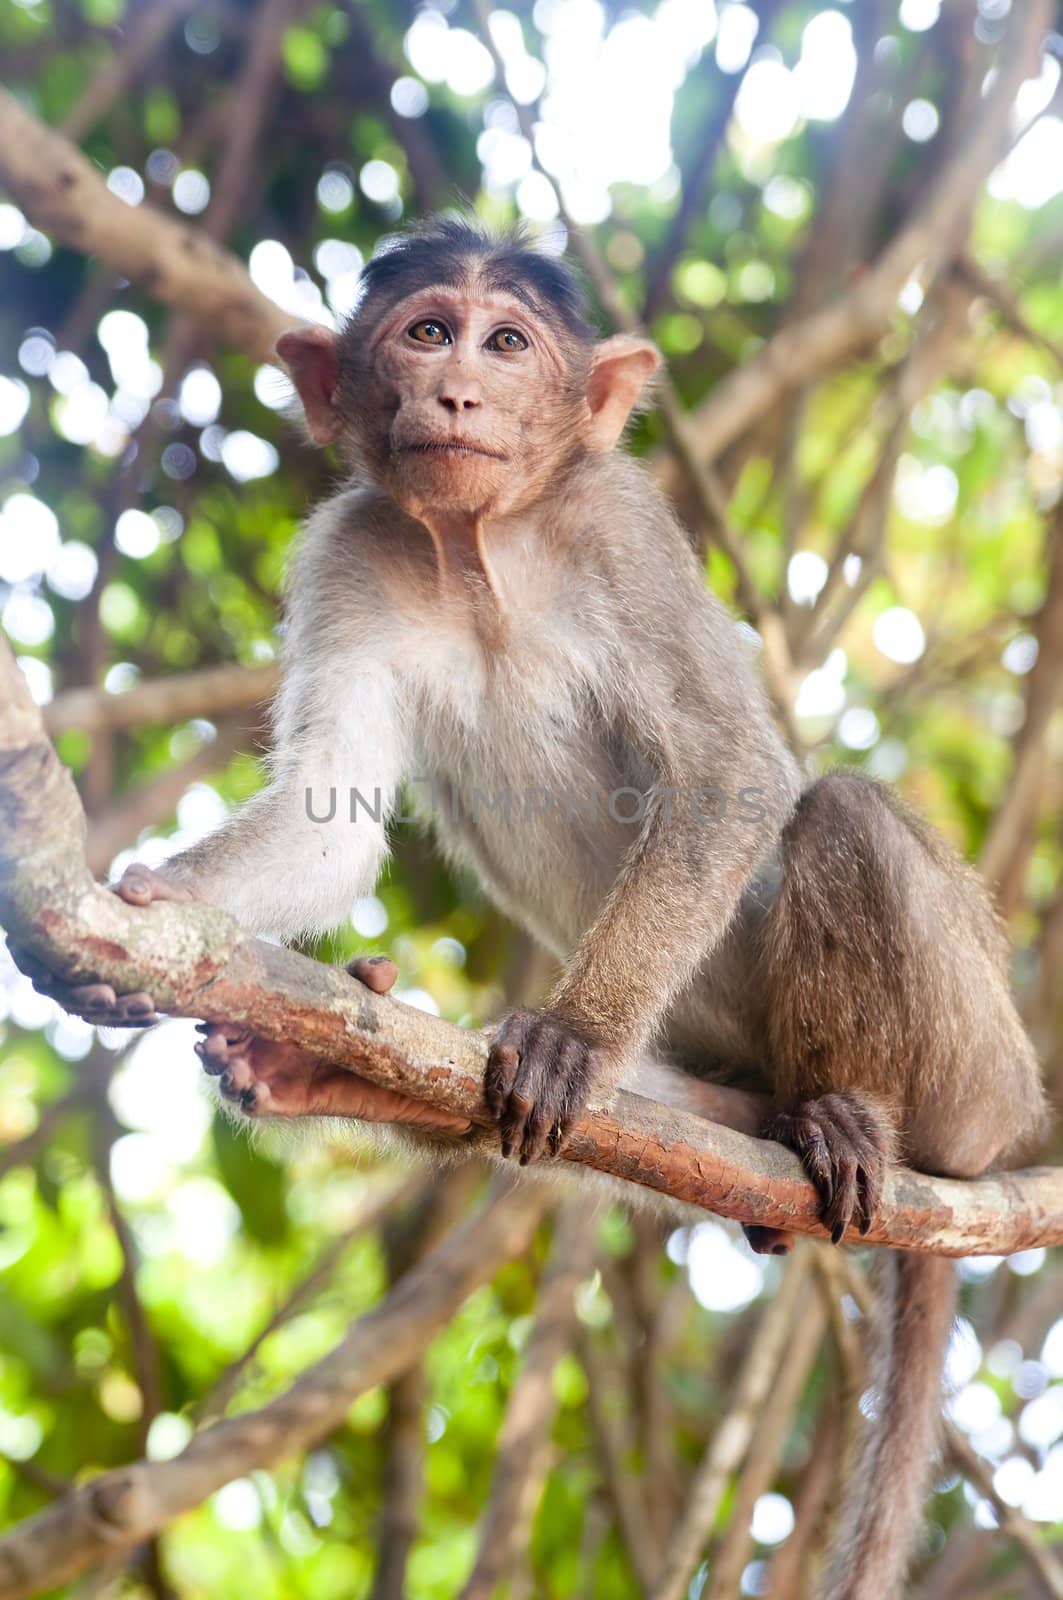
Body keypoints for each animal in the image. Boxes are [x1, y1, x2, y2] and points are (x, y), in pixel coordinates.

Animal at [24, 216, 1043, 1600]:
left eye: (505, 343)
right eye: (425, 333)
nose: (457, 393)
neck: (481, 549)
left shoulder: (620, 525)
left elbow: (731, 778)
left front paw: (573, 1034)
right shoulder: (349, 549)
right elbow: (326, 827)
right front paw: (145, 916)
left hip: (983, 1075)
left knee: (840, 815)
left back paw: (855, 1114)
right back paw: (346, 1072)